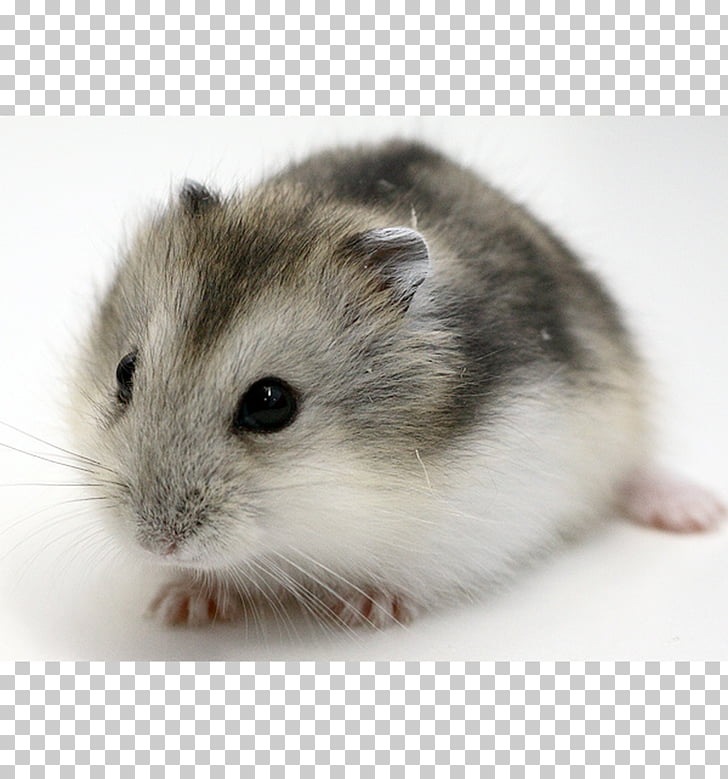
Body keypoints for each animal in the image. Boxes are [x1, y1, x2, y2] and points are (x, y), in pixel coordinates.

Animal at [69, 140, 726, 629]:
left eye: (270, 404)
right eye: (124, 373)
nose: (156, 543)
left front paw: (364, 610)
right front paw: (179, 604)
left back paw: (694, 513)